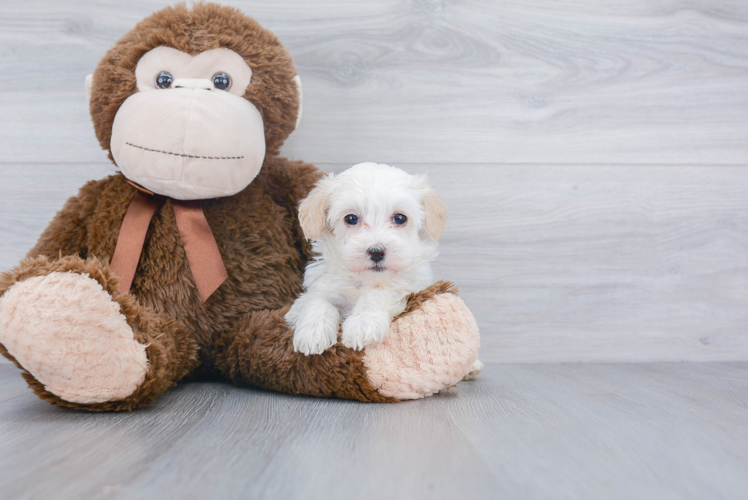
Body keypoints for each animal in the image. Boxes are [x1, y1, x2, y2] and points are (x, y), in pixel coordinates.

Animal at [284, 162, 450, 354]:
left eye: (400, 218)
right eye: (351, 218)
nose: (376, 252)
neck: (364, 280)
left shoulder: (407, 286)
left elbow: (377, 295)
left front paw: (362, 323)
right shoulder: (325, 283)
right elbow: (318, 300)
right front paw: (312, 331)